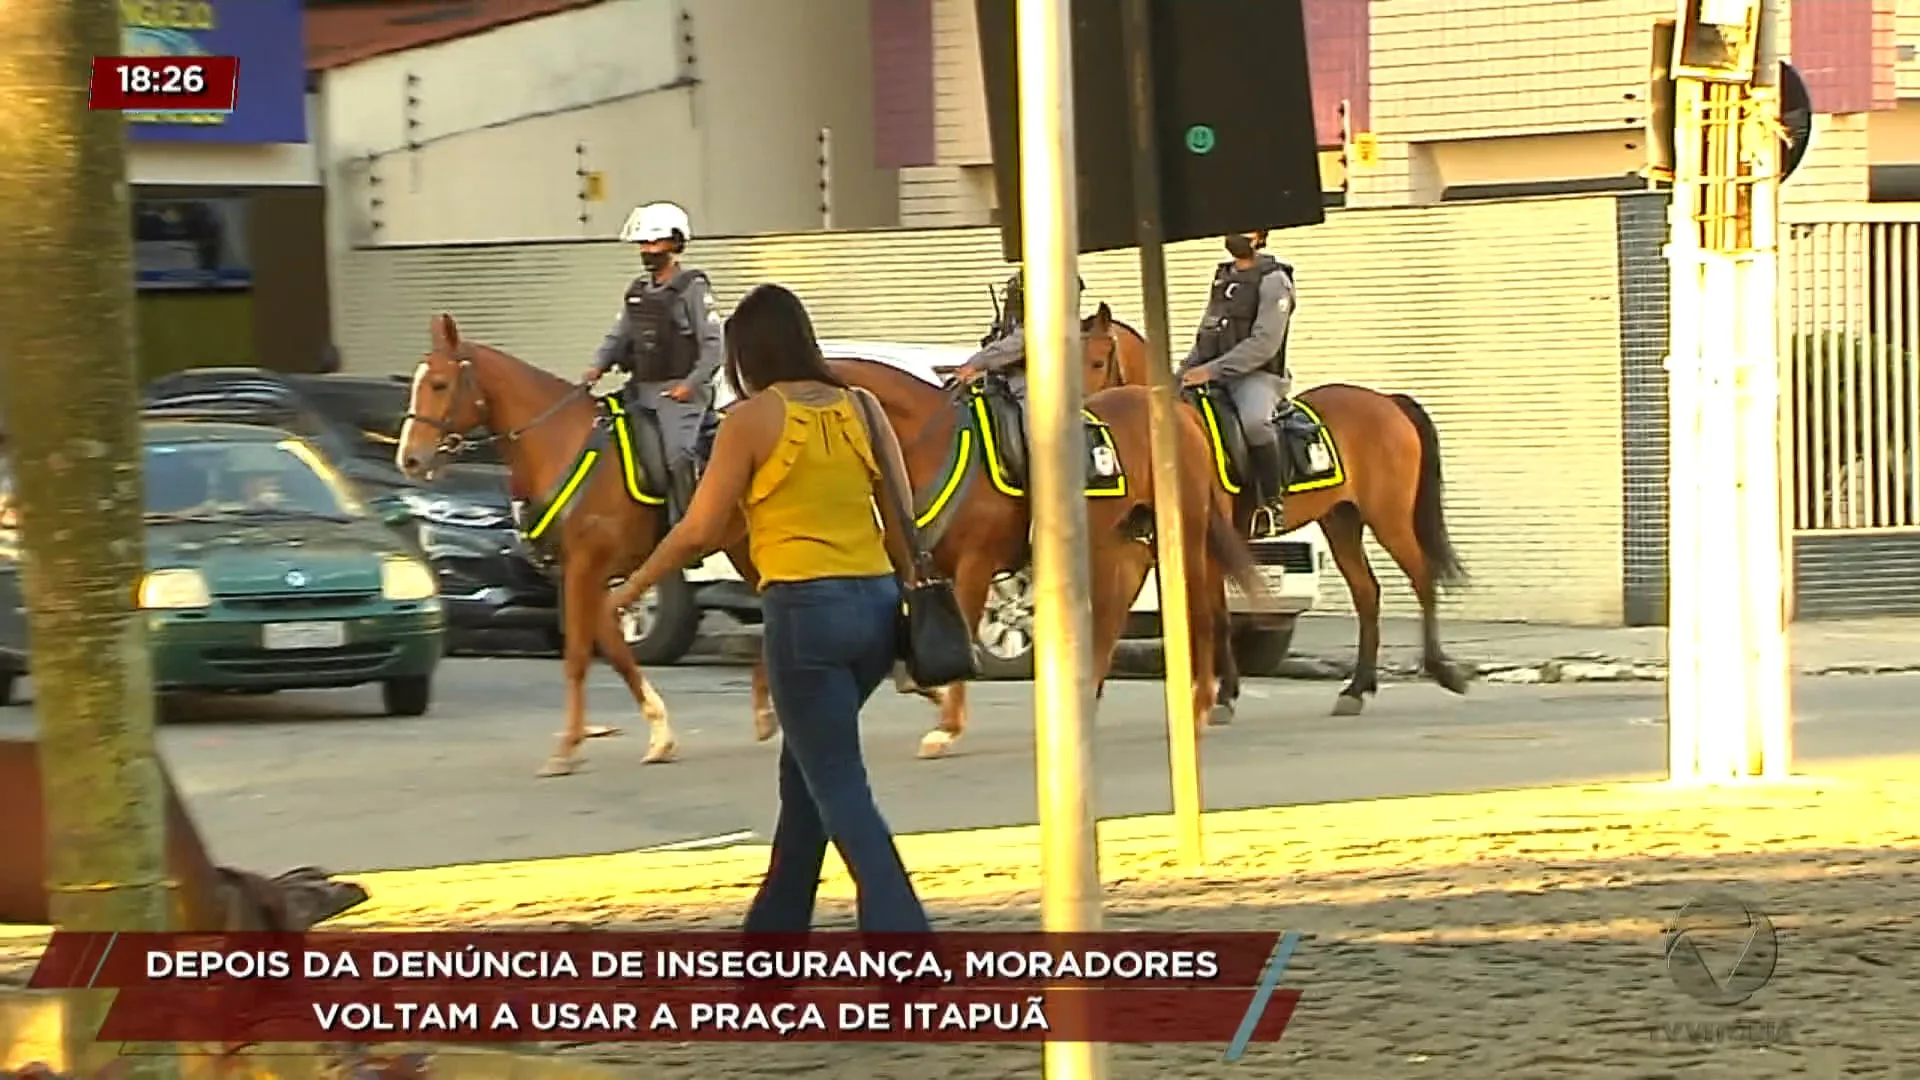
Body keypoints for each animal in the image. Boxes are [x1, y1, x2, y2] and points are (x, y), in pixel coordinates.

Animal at [393, 311, 687, 772]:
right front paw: (659, 734)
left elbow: (579, 656)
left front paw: (567, 747)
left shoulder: (587, 565)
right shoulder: (581, 573)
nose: (409, 458)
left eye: (439, 384)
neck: (560, 442)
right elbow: (613, 650)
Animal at [733, 319, 1259, 757]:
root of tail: (1179, 413)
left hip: (1184, 535)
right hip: (1124, 548)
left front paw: (946, 725)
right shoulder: (913, 568)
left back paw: (1200, 707)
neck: (929, 443)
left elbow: (962, 630)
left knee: (1200, 614)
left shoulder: (974, 565)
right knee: (1113, 620)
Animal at [1090, 311, 1474, 714]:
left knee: (1422, 578)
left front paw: (1222, 695)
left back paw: (1440, 669)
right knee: (1367, 593)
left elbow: (1212, 614)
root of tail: (1387, 401)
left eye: (1098, 361)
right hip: (1342, 521)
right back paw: (1356, 689)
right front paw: (1221, 691)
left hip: (1389, 518)